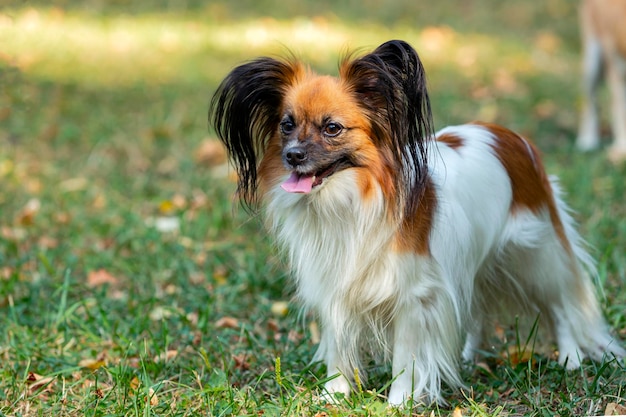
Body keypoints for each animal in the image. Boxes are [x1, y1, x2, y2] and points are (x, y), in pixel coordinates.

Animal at [211, 40, 624, 404]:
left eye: (332, 128)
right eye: (286, 125)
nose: (293, 155)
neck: (350, 201)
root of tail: (510, 137)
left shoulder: (414, 298)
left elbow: (407, 360)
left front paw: (400, 401)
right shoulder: (337, 287)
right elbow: (340, 348)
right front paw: (335, 395)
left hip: (534, 255)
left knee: (560, 304)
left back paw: (570, 357)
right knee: (477, 308)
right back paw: (472, 356)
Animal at [576, 0, 624, 161]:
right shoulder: (617, 71)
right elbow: (620, 111)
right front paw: (622, 149)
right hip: (592, 63)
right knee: (590, 103)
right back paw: (587, 141)